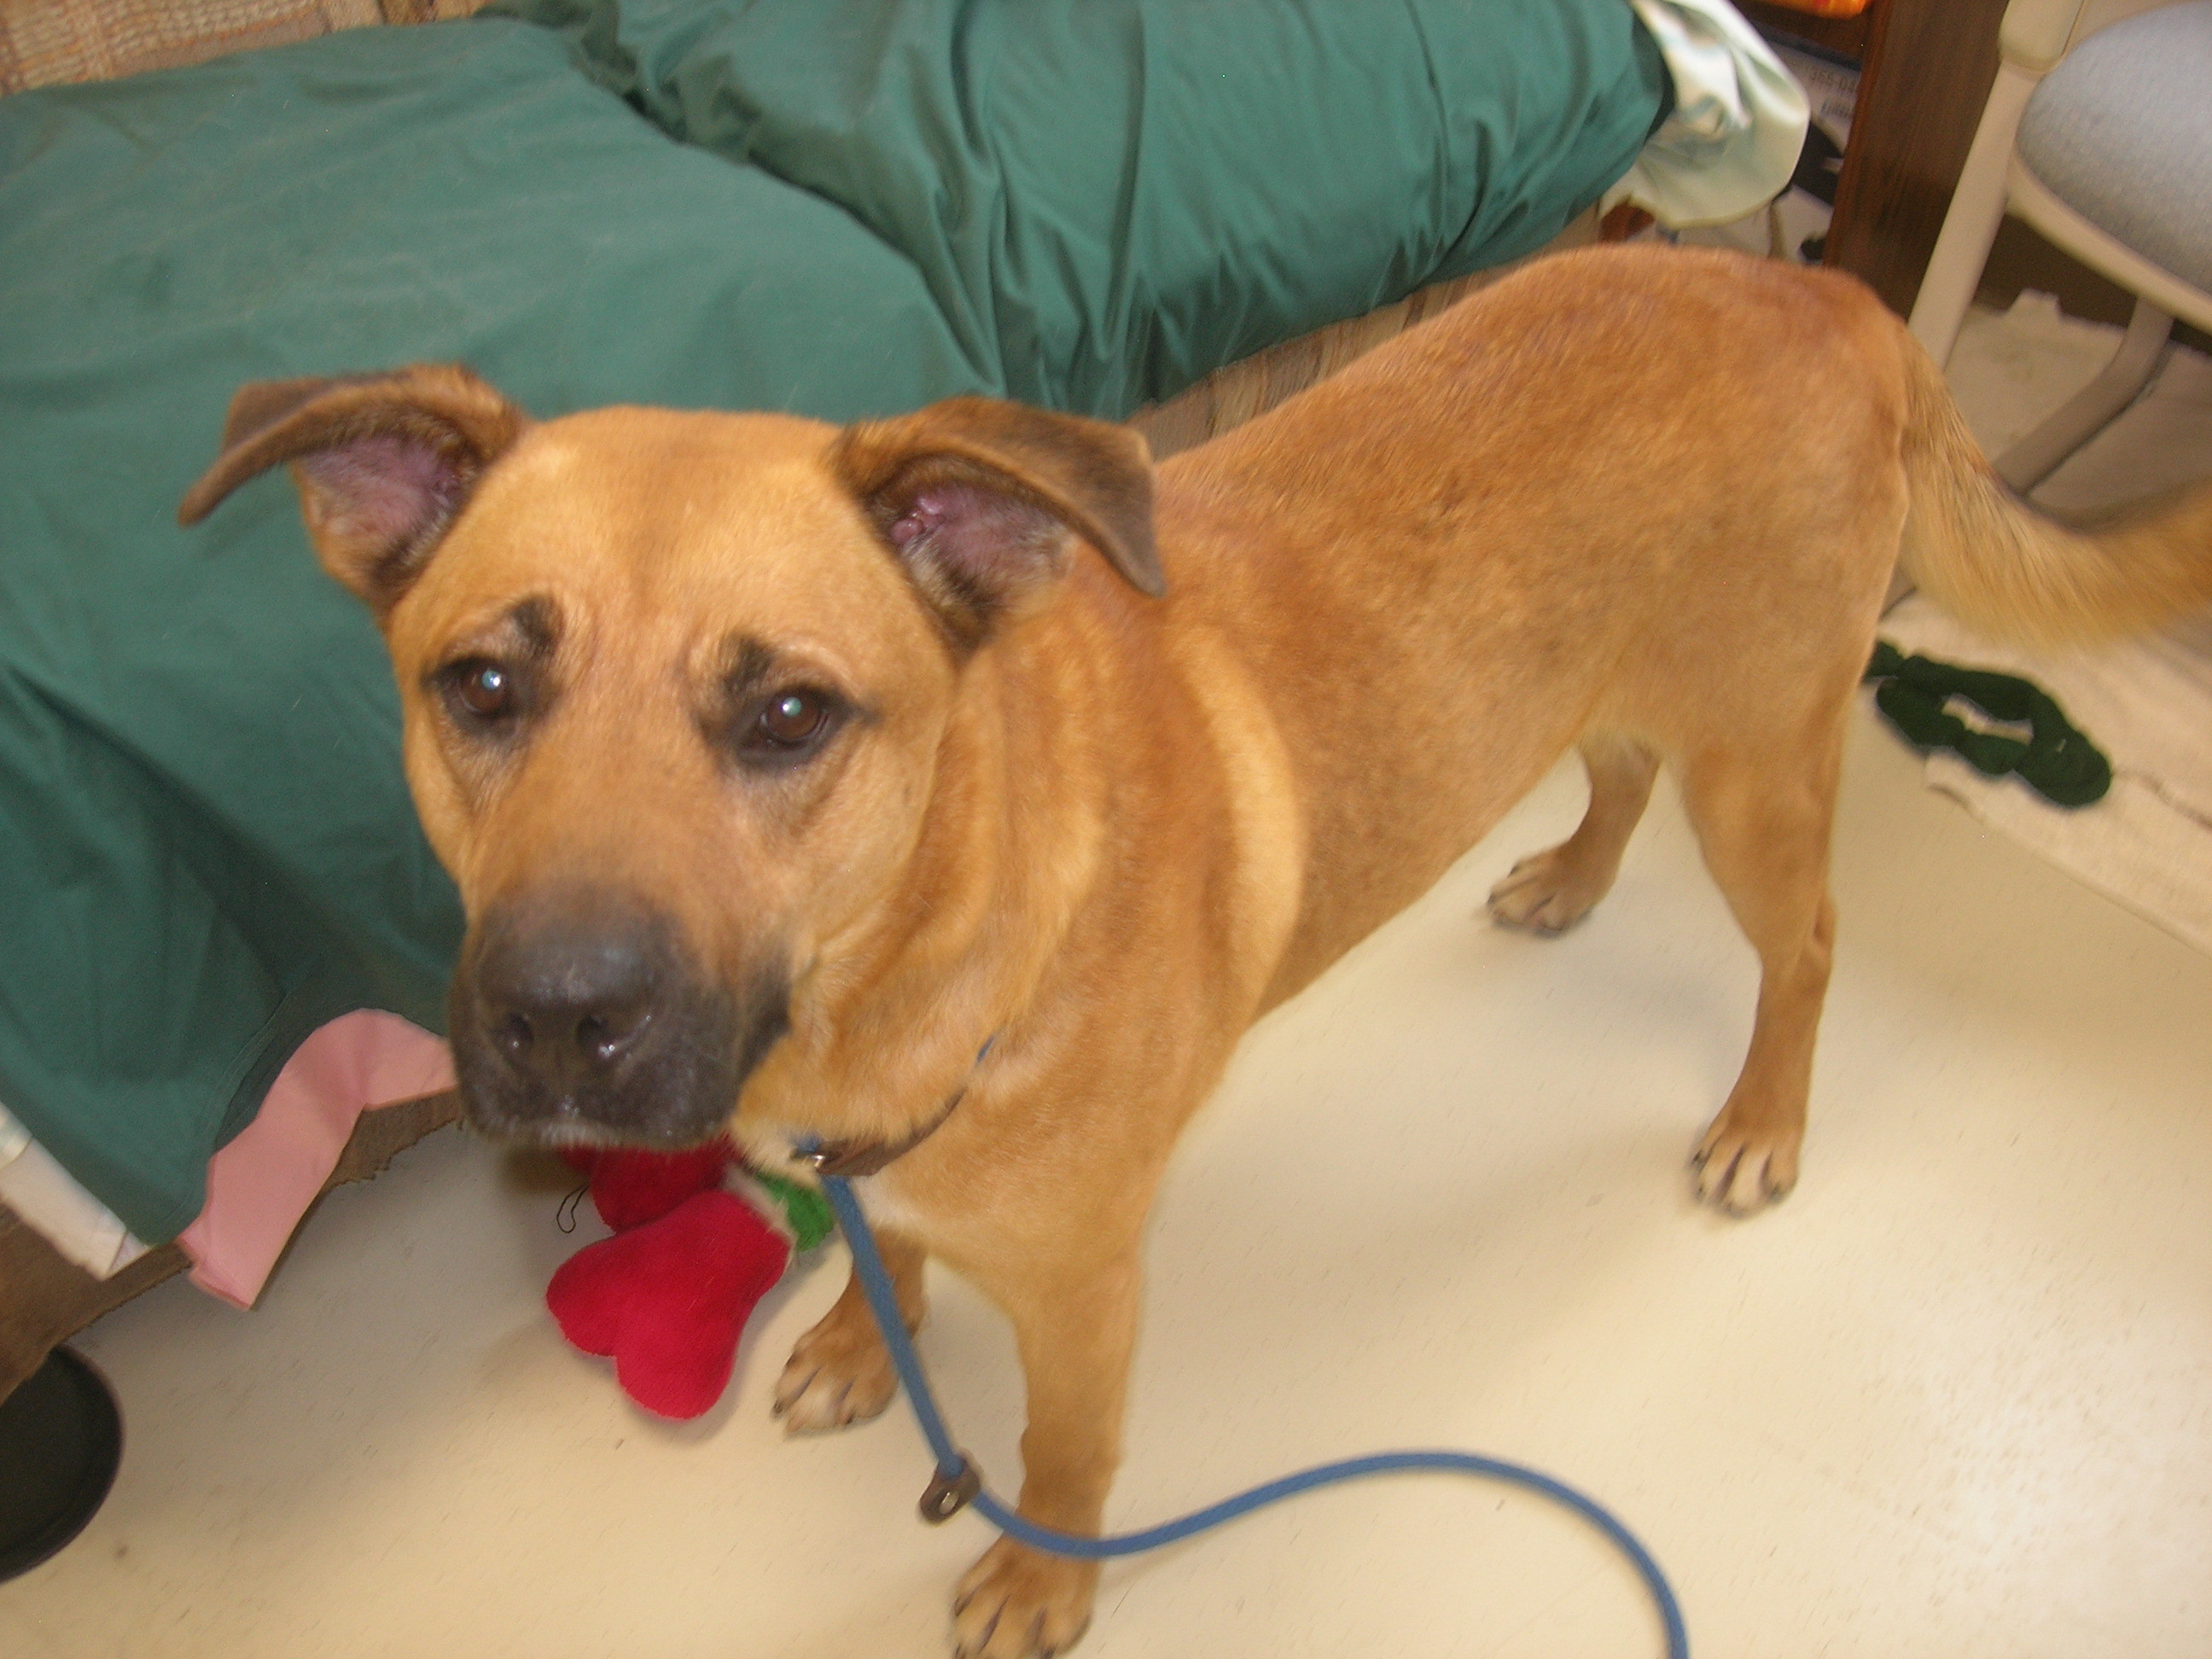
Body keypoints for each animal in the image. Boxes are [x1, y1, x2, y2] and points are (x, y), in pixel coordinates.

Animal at [177, 247, 2212, 1659]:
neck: (922, 948)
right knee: (1611, 773)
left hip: (1760, 767)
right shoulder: (883, 1169)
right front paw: (850, 1331)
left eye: (787, 715)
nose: (556, 1022)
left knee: (1808, 948)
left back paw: (1763, 1119)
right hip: (1616, 691)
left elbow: (1064, 1457)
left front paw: (1036, 1581)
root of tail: (1824, 285)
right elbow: (894, 1258)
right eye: (481, 686)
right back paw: (1566, 878)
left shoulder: (1085, 1289)